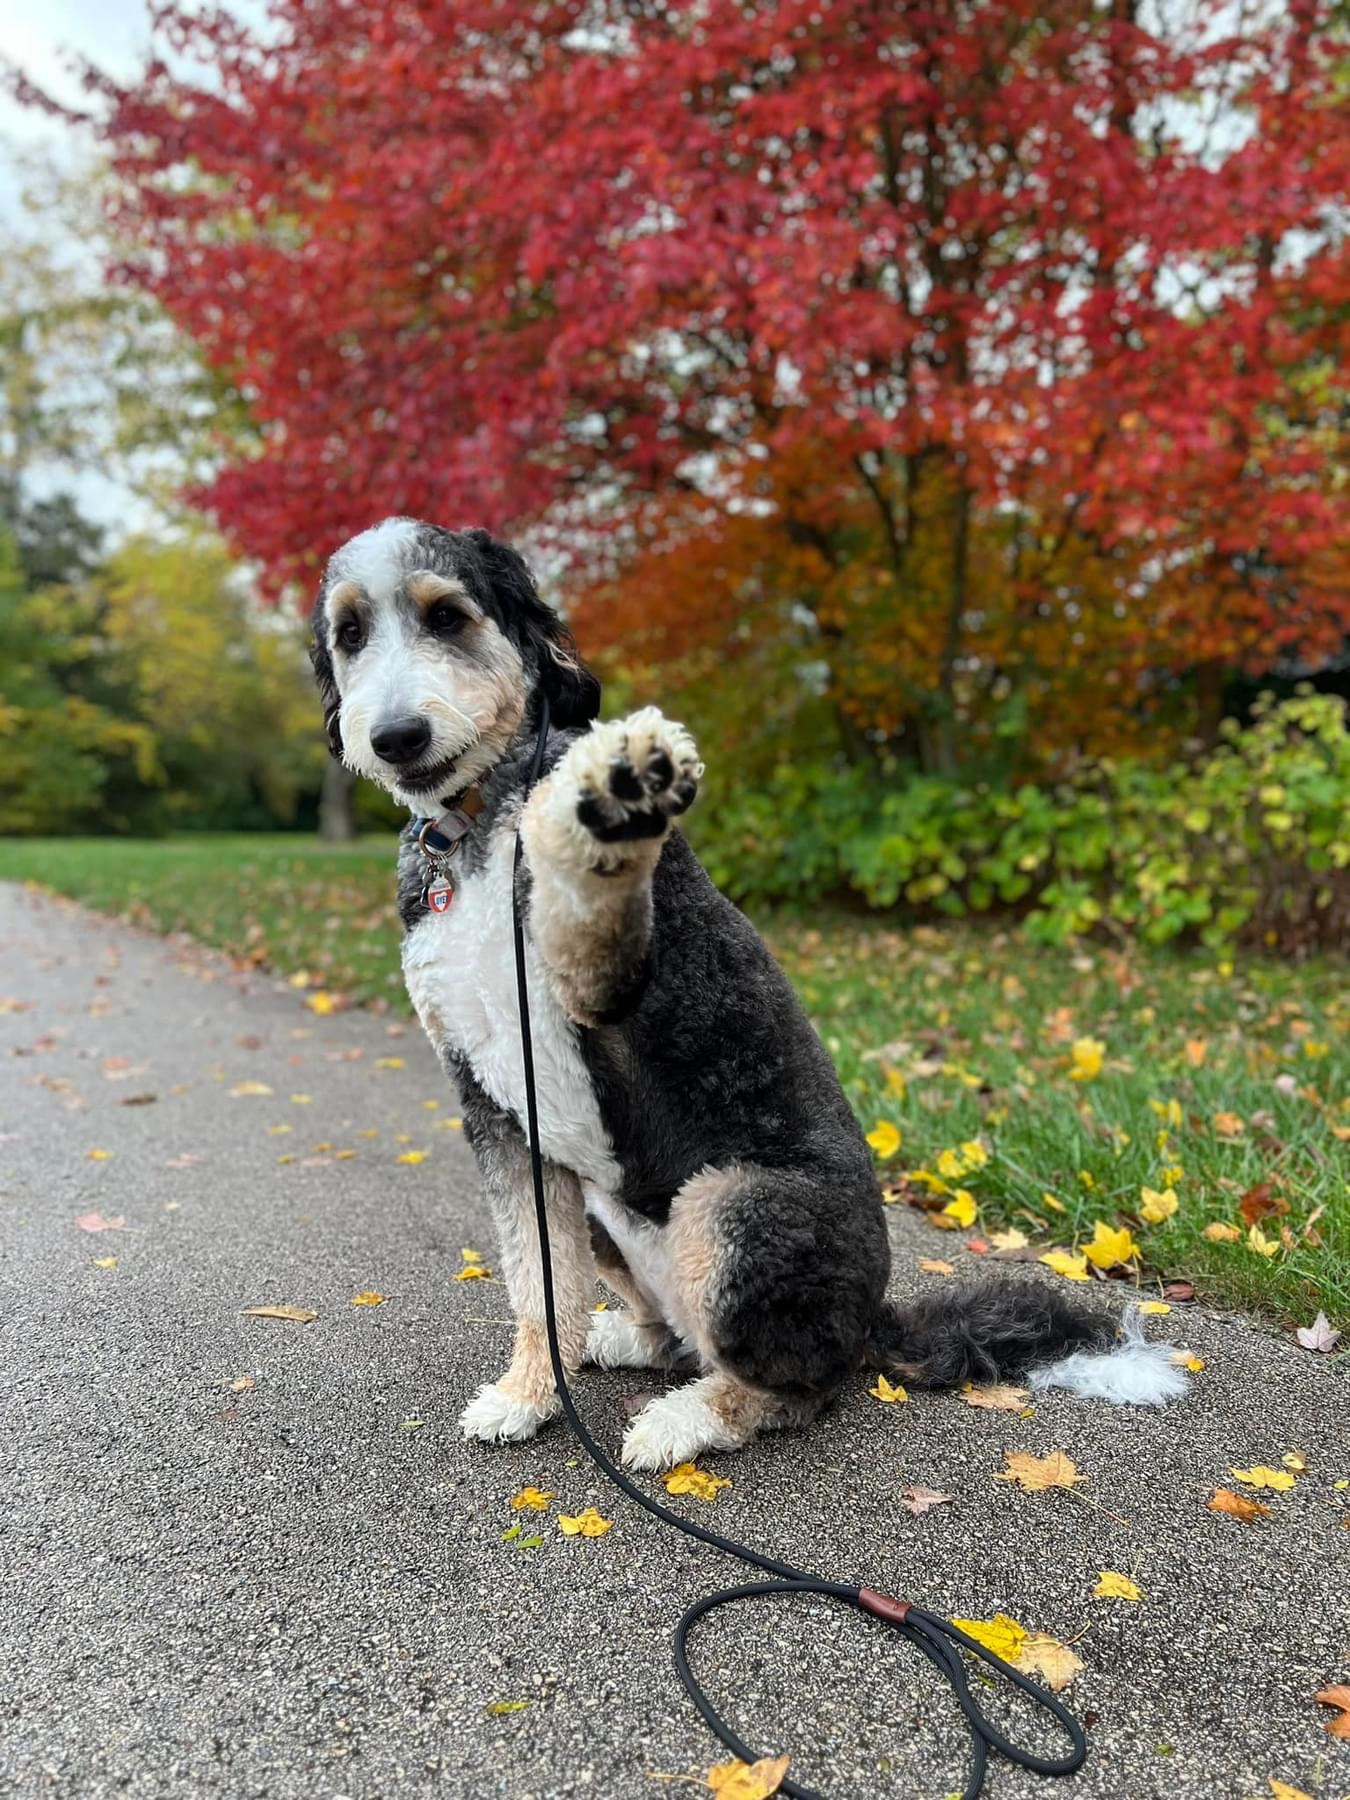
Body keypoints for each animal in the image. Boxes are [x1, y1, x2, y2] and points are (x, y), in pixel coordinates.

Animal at [311, 514, 1188, 1468]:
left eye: (446, 615)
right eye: (350, 634)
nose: (394, 736)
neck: (474, 835)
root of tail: (872, 1325)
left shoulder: (605, 987)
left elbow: (583, 870)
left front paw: (608, 793)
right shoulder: (501, 1116)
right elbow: (536, 1283)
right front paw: (530, 1394)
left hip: (732, 1200)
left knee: (790, 1389)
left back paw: (684, 1419)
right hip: (604, 1204)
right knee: (673, 1334)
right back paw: (617, 1341)